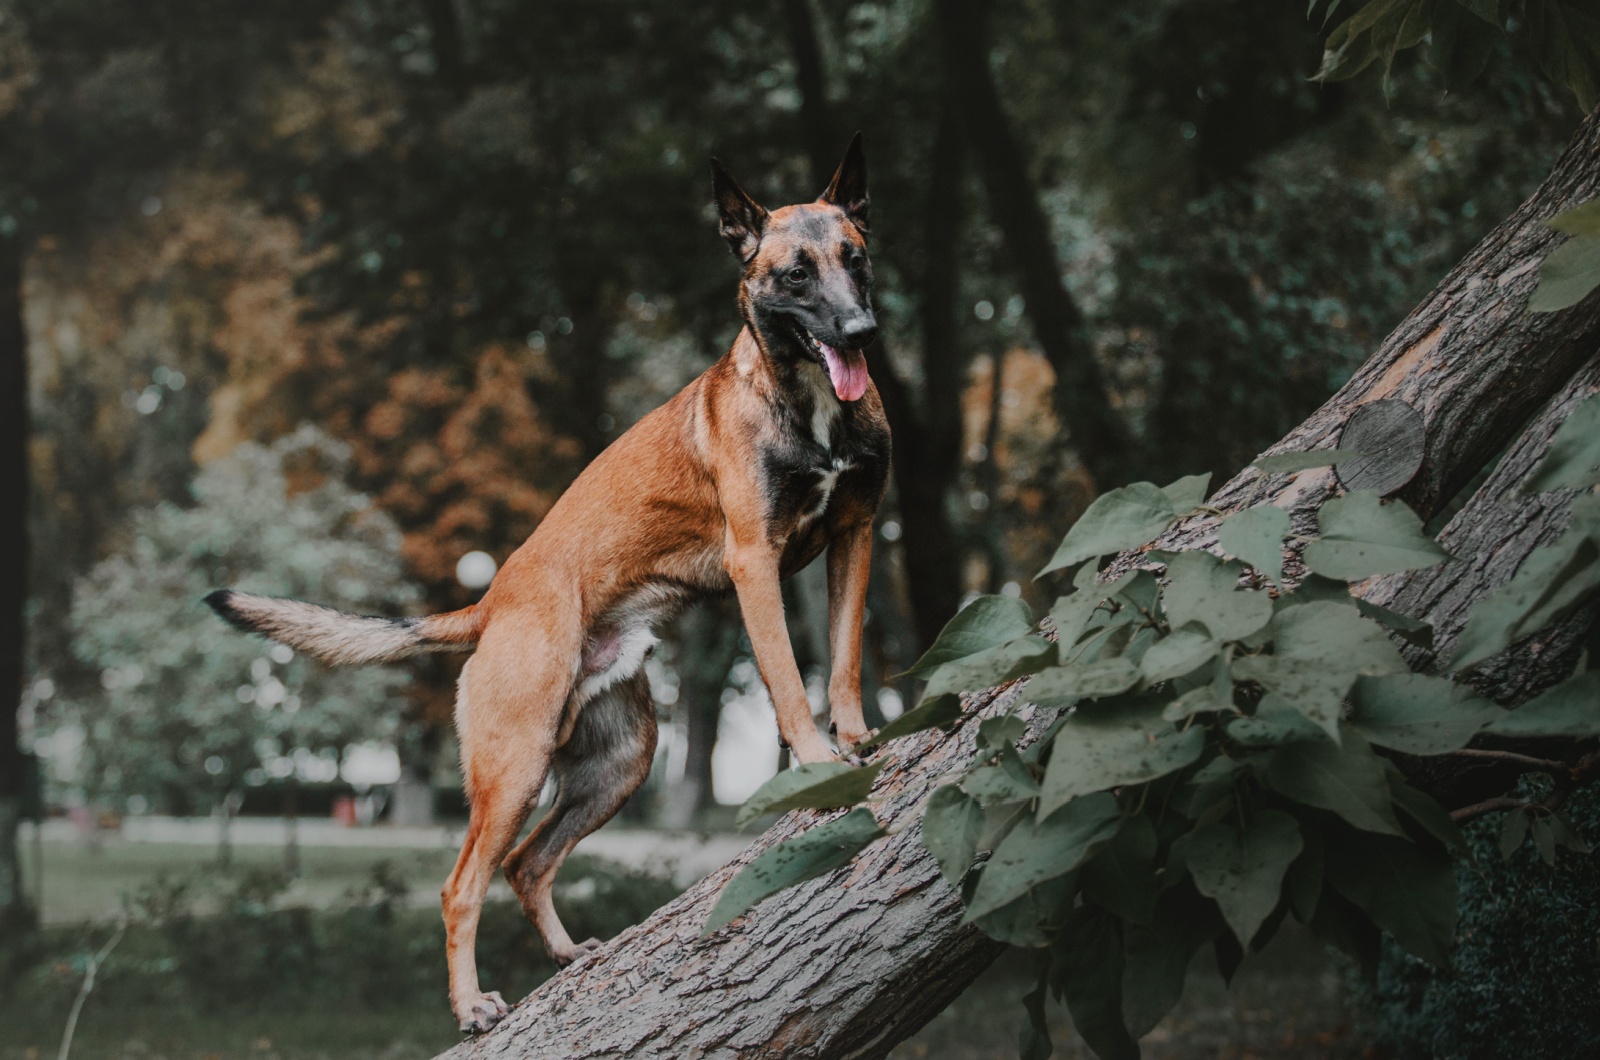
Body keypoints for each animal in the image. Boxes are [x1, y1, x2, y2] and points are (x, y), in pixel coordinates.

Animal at [203, 135, 889, 1037]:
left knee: (529, 863)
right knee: (463, 884)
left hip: (618, 763)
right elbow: (786, 678)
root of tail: (492, 603)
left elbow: (841, 660)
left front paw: (858, 736)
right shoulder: (756, 564)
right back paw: (472, 1006)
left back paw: (566, 956)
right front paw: (814, 760)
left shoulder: (854, 536)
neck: (806, 402)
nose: (863, 330)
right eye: (797, 274)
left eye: (856, 257)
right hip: (517, 765)